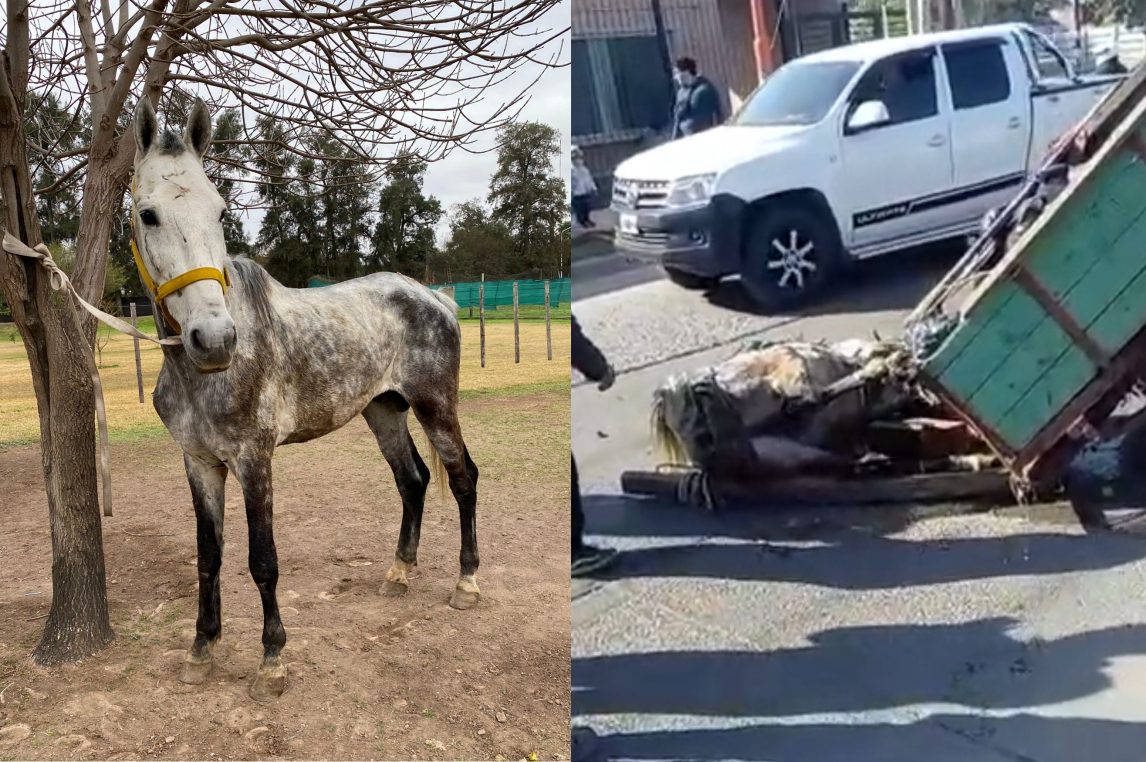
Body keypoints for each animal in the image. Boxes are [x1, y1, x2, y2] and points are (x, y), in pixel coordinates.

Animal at [130, 97, 480, 702]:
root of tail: (434, 297)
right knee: (412, 480)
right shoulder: (200, 463)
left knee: (462, 478)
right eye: (148, 214)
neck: (202, 375)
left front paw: (272, 660)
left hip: (436, 407)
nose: (214, 339)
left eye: (220, 211)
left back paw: (467, 582)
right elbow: (208, 557)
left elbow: (262, 560)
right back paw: (399, 573)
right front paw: (202, 649)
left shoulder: (254, 459)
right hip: (383, 411)